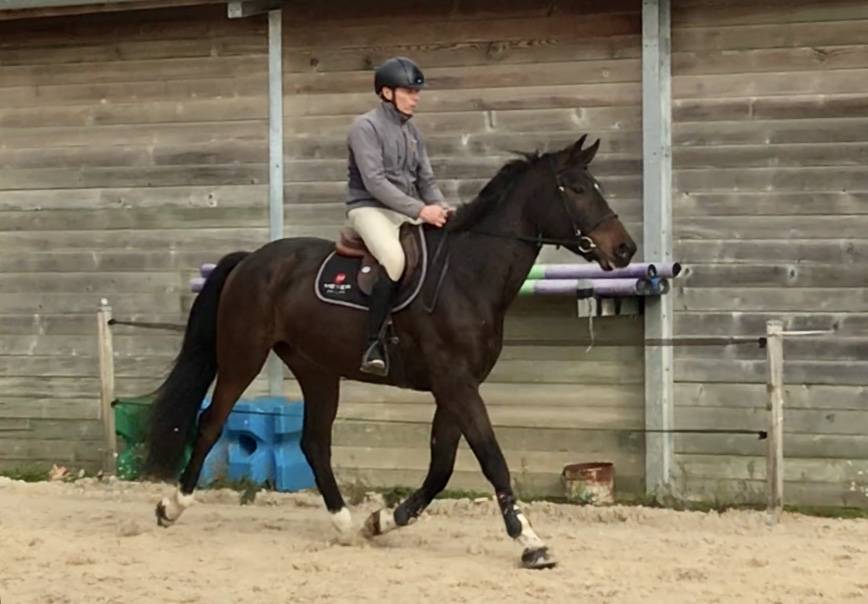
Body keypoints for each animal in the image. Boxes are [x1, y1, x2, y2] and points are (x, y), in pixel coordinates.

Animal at [143, 134, 637, 570]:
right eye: (576, 189)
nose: (624, 248)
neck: (468, 275)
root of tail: (250, 260)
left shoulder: (456, 387)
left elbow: (441, 466)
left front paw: (382, 521)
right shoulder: (456, 384)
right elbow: (491, 459)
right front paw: (531, 543)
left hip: (317, 370)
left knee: (314, 442)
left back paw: (346, 526)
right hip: (242, 358)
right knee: (211, 423)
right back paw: (171, 507)